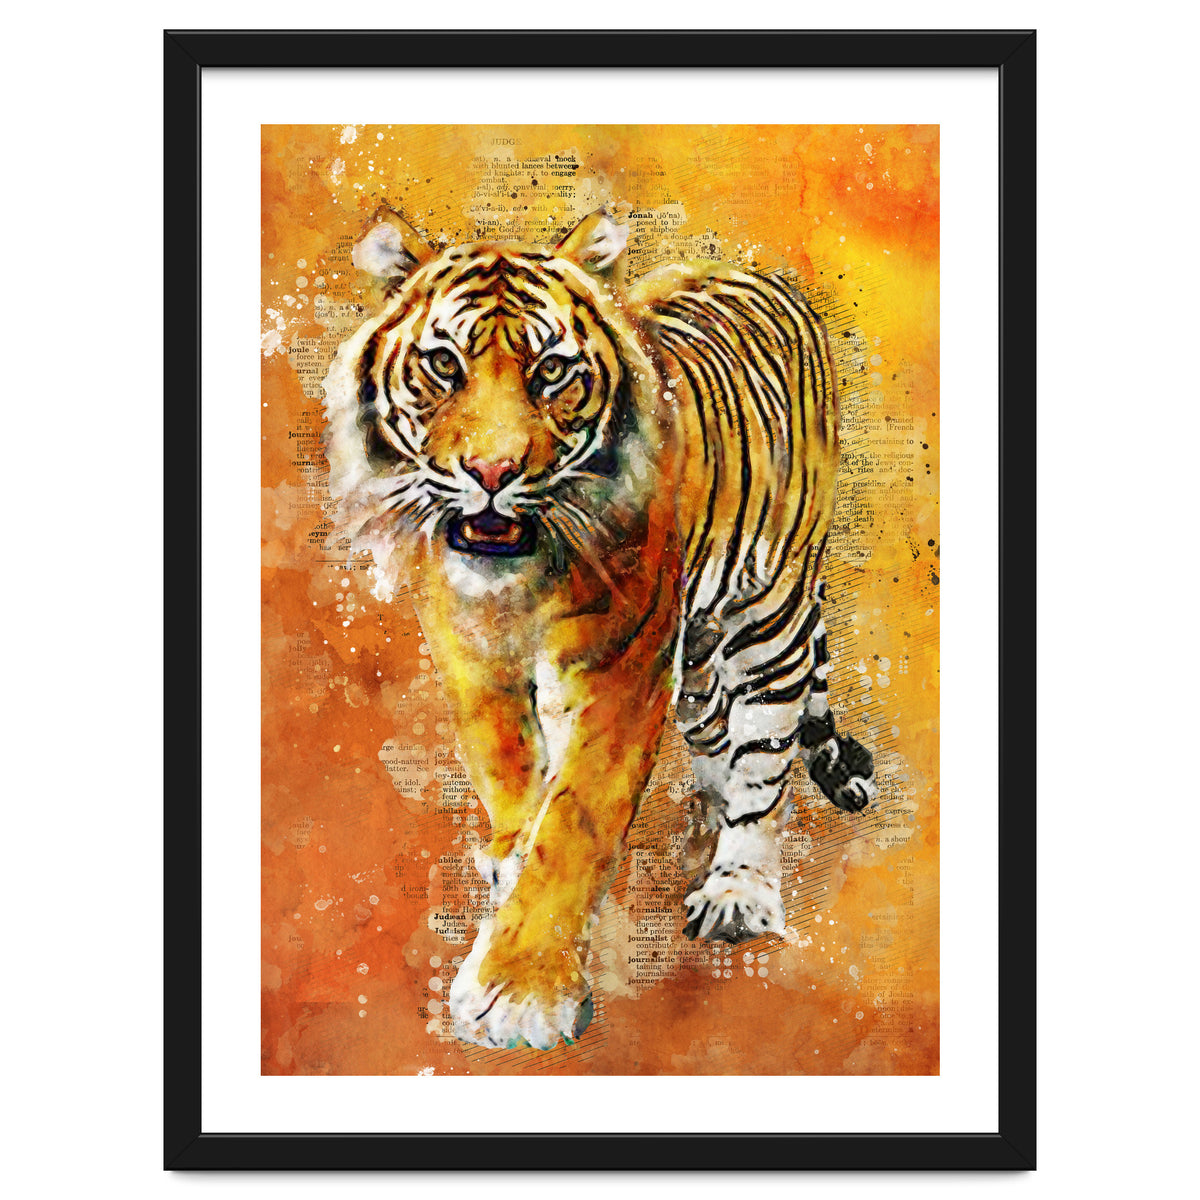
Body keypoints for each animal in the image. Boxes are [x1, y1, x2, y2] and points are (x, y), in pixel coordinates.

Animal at [321, 202, 876, 1051]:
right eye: (444, 365)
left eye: (551, 371)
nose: (492, 473)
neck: (517, 583)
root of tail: (756, 272)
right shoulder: (470, 651)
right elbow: (510, 771)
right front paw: (510, 859)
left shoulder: (620, 668)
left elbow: (575, 821)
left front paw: (521, 991)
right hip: (701, 647)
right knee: (715, 729)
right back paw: (705, 815)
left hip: (768, 608)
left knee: (765, 752)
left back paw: (738, 887)